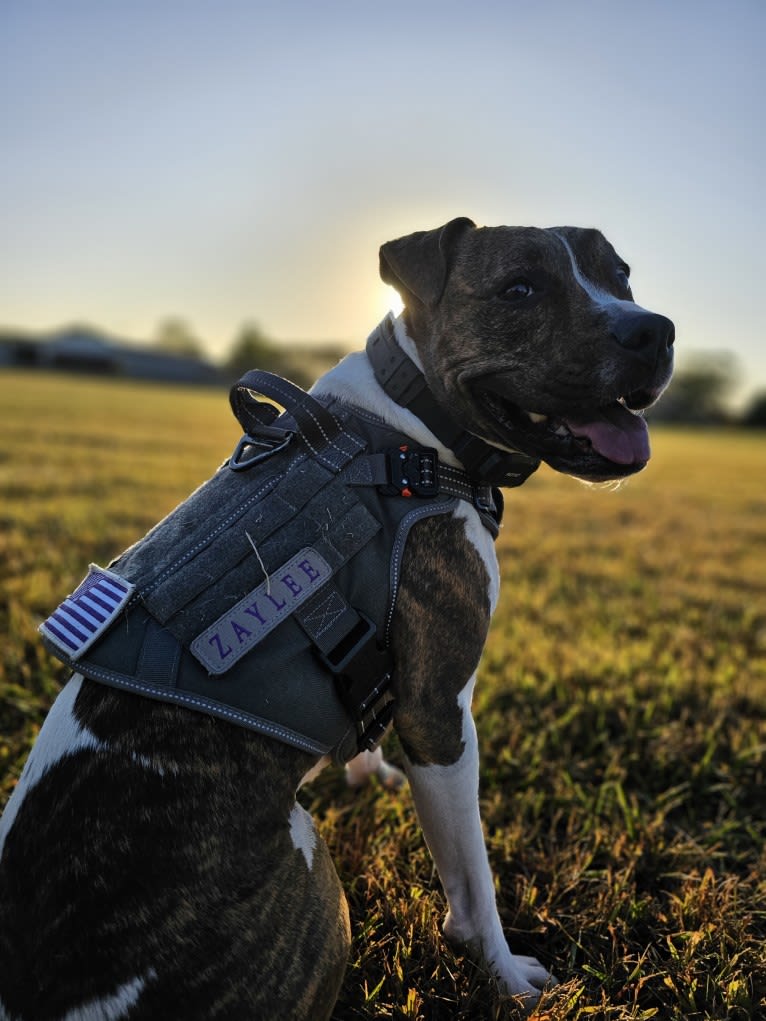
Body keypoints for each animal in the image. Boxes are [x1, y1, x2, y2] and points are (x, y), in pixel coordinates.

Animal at [0, 217, 669, 1021]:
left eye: (622, 275)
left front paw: (368, 767)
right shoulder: (440, 712)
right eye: (519, 288)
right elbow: (473, 878)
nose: (654, 330)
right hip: (319, 883)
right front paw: (505, 975)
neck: (411, 431)